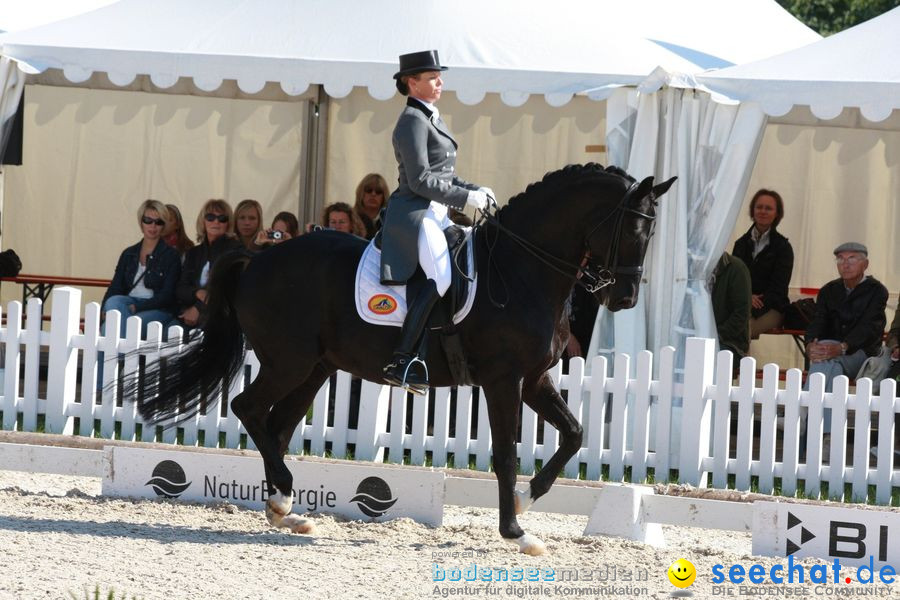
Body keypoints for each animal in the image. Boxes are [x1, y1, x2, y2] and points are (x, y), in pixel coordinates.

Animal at [134, 162, 672, 556]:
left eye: (651, 235)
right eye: (632, 230)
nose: (623, 297)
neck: (522, 270)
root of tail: (260, 256)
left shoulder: (534, 379)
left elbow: (574, 434)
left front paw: (525, 499)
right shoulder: (504, 380)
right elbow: (505, 453)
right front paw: (516, 532)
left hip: (316, 367)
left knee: (278, 424)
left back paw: (285, 508)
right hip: (291, 361)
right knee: (249, 408)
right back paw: (284, 498)